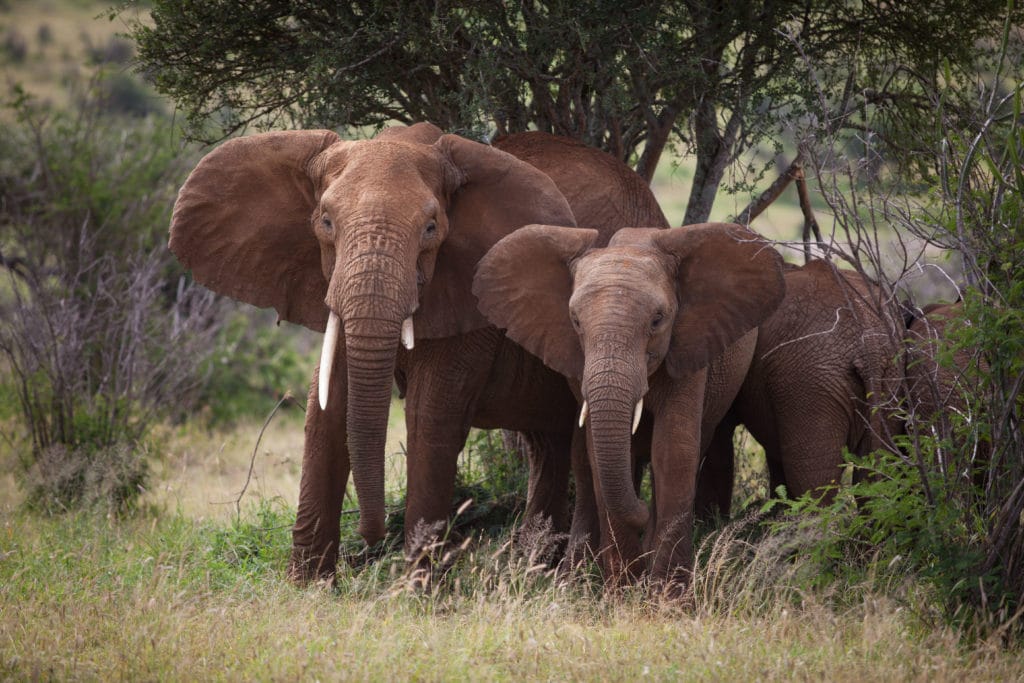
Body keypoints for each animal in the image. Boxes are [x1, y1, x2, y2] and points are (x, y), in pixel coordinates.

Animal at [169, 122, 663, 581]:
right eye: (325, 222)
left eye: (431, 229)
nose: (370, 540)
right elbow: (324, 412)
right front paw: (307, 588)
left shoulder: (469, 292)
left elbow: (430, 417)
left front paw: (417, 592)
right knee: (548, 444)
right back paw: (535, 568)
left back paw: (574, 576)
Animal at [471, 224, 782, 593]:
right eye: (575, 321)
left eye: (658, 320)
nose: (643, 511)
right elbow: (596, 452)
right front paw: (623, 593)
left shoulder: (688, 350)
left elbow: (673, 451)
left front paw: (668, 598)